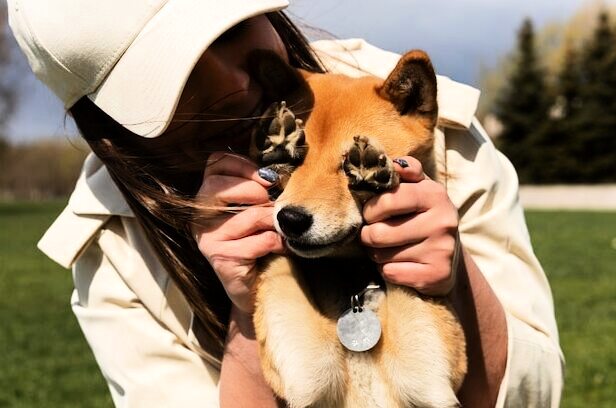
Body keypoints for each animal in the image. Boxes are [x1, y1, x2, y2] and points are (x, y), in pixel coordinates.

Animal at [248, 50, 464, 408]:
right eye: (296, 162)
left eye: (347, 162)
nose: (290, 219)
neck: (354, 282)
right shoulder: (307, 372)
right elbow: (278, 262)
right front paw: (279, 143)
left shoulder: (427, 378)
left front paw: (373, 173)